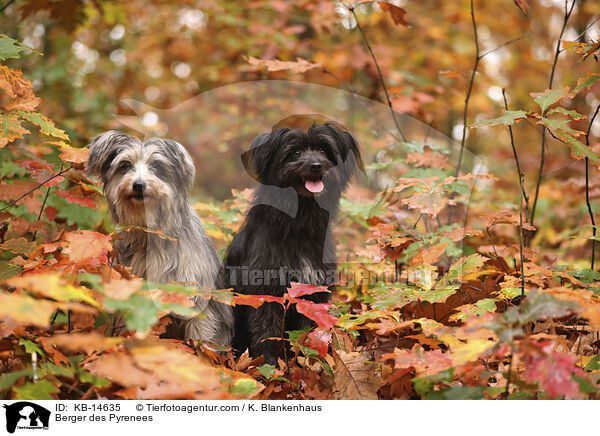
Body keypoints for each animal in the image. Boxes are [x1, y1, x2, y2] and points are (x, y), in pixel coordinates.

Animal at [85, 131, 233, 346]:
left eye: (156, 166)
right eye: (125, 165)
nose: (138, 185)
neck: (149, 235)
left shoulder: (195, 295)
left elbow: (200, 332)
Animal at [224, 121, 360, 362]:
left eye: (324, 150)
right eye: (295, 153)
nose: (316, 165)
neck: (298, 227)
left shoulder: (313, 291)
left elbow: (307, 329)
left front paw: (308, 359)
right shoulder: (265, 289)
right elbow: (266, 330)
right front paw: (267, 363)